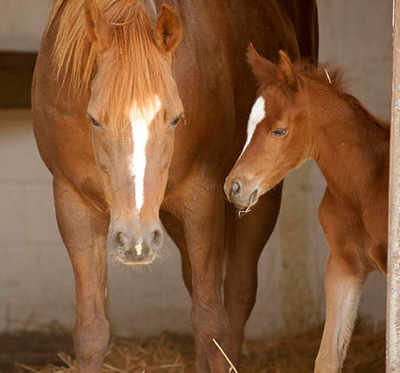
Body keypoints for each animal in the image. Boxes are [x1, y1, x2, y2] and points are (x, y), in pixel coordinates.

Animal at [227, 48, 390, 370]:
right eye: (249, 126)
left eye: (279, 131)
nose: (234, 187)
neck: (362, 190)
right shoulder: (343, 265)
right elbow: (327, 358)